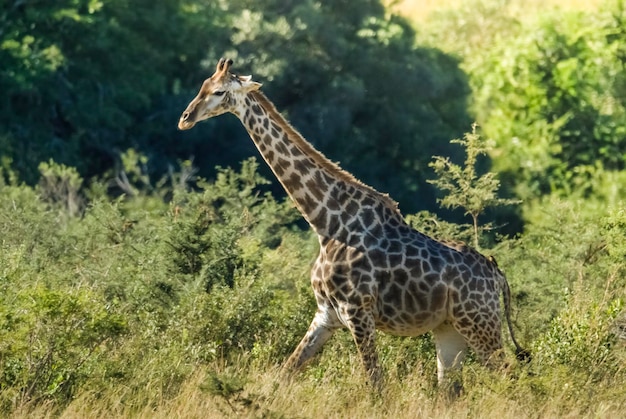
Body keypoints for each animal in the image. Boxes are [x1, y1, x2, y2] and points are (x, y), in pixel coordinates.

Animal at [177, 57, 528, 392]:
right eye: (202, 85)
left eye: (219, 92)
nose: (185, 118)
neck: (326, 223)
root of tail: (498, 274)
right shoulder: (325, 314)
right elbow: (284, 374)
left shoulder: (357, 311)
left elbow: (376, 386)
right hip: (450, 329)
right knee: (451, 390)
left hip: (479, 324)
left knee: (513, 378)